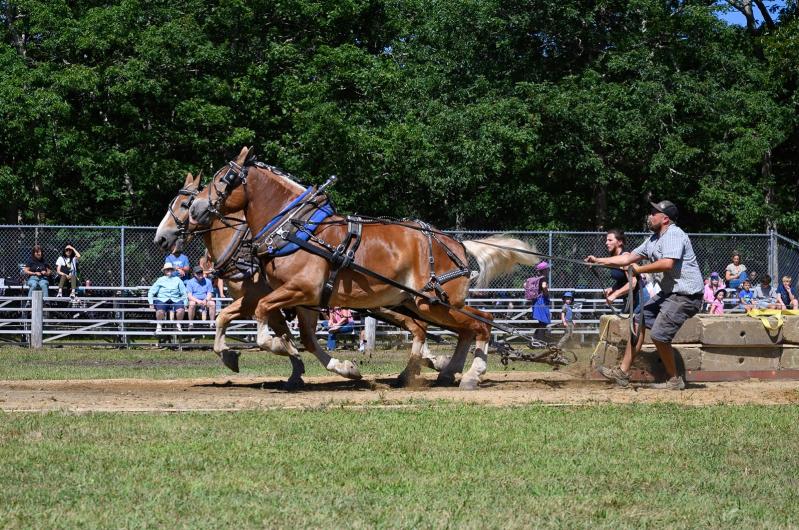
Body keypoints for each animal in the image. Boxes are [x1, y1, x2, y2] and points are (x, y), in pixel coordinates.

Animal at [154, 172, 446, 388]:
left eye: (184, 205)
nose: (161, 238)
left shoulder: (264, 298)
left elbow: (287, 335)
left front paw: (302, 365)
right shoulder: (283, 300)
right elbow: (231, 320)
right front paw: (235, 357)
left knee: (419, 327)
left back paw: (428, 364)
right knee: (418, 327)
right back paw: (429, 362)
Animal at [188, 147, 541, 390]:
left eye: (223, 179)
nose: (194, 209)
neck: (293, 228)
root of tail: (456, 245)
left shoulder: (301, 290)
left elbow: (264, 314)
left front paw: (273, 346)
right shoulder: (300, 299)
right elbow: (266, 321)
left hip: (435, 302)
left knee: (482, 324)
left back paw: (469, 375)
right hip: (423, 304)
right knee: (466, 327)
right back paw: (440, 373)